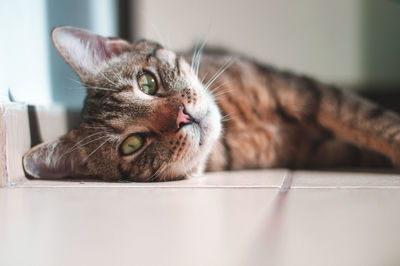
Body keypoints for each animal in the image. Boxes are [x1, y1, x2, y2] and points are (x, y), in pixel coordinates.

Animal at [22, 26, 400, 182]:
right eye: (132, 144)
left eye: (147, 82)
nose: (182, 117)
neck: (239, 128)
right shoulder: (321, 148)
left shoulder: (307, 92)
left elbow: (379, 124)